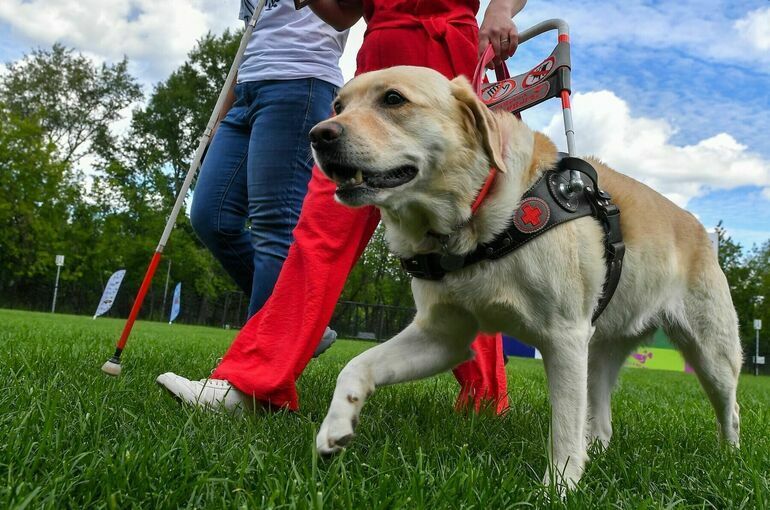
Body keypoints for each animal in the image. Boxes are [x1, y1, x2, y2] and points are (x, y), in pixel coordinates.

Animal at [308, 65, 740, 488]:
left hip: (711, 354)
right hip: (599, 353)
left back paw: (730, 461)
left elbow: (564, 428)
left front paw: (558, 489)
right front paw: (336, 426)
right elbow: (356, 365)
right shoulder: (443, 337)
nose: (318, 134)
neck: (477, 222)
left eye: (393, 99)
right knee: (601, 422)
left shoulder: (564, 337)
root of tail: (700, 228)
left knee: (730, 409)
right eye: (337, 105)